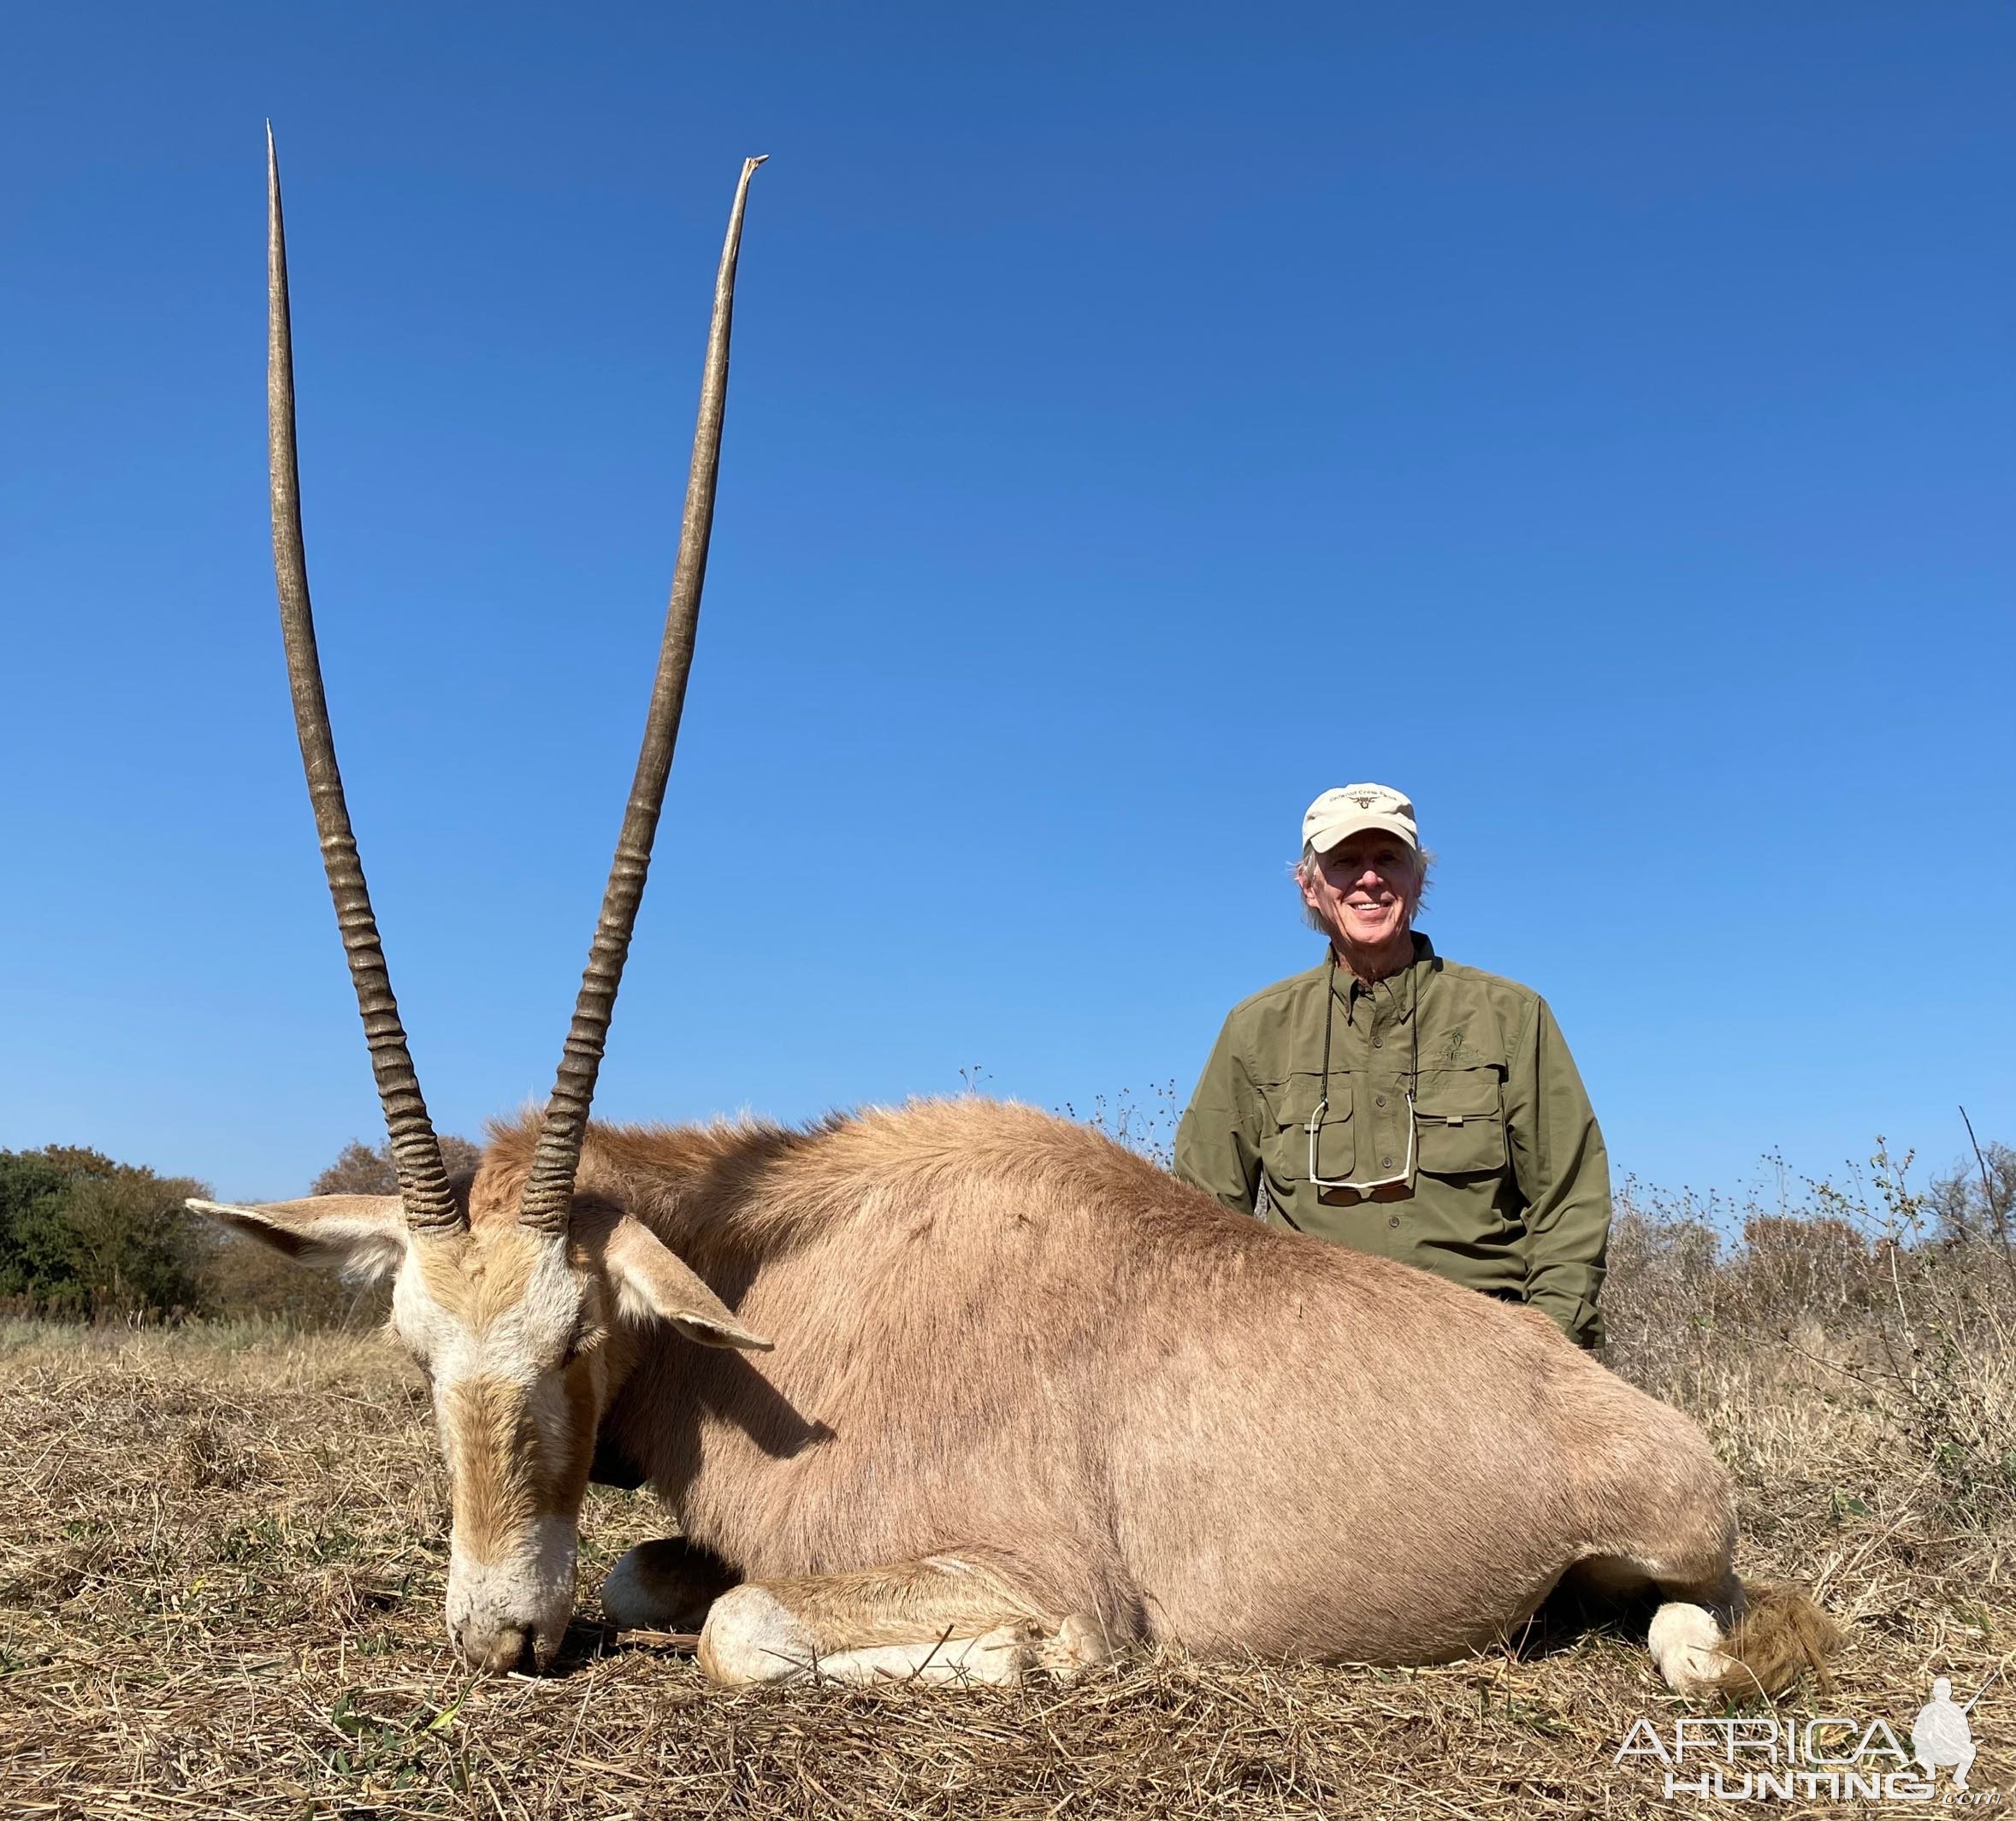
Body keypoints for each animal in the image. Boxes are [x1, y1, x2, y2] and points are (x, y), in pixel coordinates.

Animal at [196, 139, 1838, 1694]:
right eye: (414, 1346)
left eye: (583, 1335)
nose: (499, 1633)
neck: (780, 1280)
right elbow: (653, 1576)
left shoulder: (1004, 1556)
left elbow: (747, 1621)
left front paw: (1026, 1656)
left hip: (1672, 1540)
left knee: (1698, 1622)